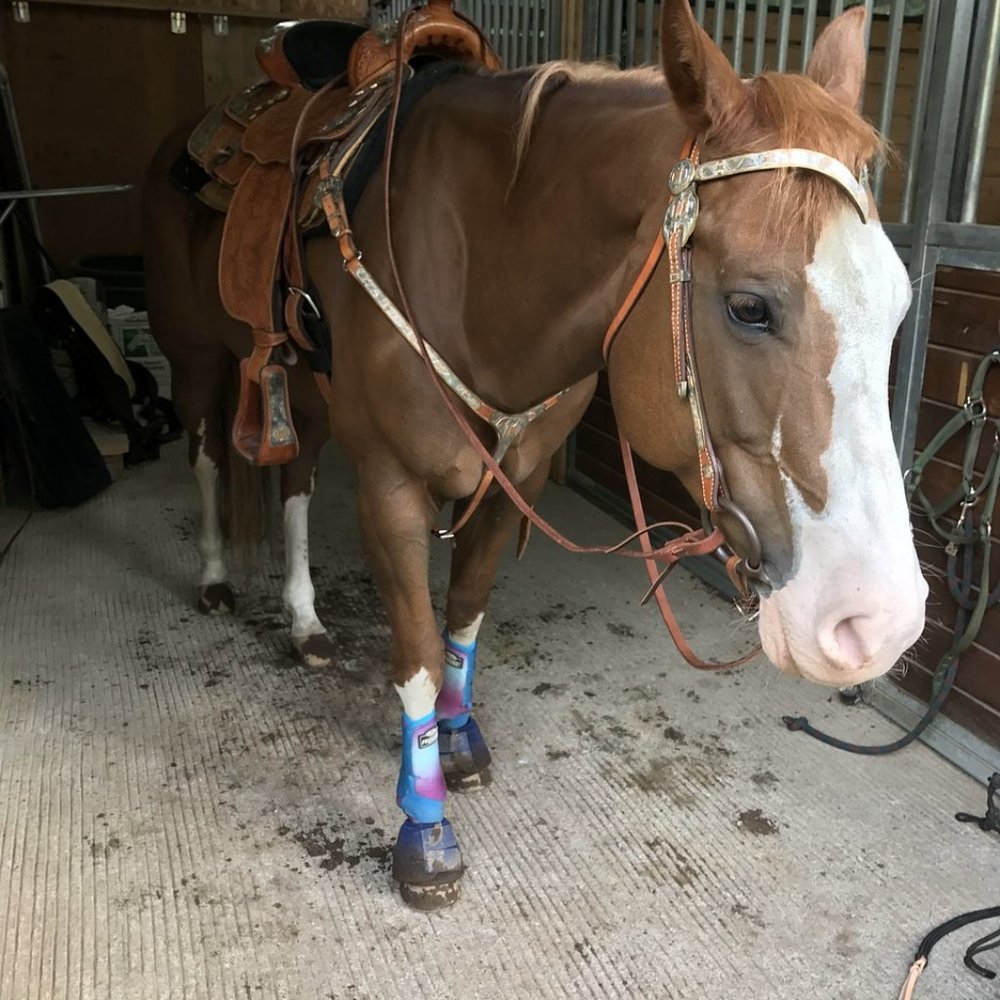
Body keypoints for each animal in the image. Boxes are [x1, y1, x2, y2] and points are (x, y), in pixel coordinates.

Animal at [142, 0, 928, 910]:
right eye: (748, 307)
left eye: (900, 304)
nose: (880, 622)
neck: (476, 265)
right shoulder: (391, 489)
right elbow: (416, 652)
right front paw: (426, 833)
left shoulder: (509, 481)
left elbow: (463, 619)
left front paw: (460, 742)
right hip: (198, 355)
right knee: (206, 455)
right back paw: (214, 578)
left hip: (301, 386)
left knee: (295, 479)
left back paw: (305, 621)